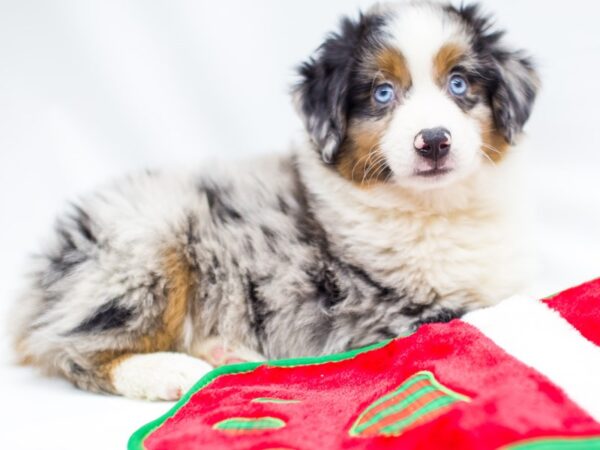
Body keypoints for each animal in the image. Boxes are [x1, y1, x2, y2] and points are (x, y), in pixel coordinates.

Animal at [12, 0, 540, 400]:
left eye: (459, 83)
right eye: (382, 93)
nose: (433, 141)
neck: (436, 206)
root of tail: (40, 278)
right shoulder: (387, 309)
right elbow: (490, 309)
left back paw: (226, 353)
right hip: (144, 248)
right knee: (70, 350)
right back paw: (168, 373)